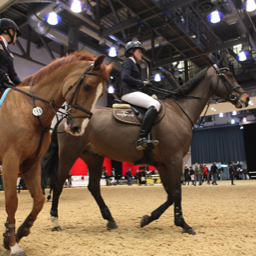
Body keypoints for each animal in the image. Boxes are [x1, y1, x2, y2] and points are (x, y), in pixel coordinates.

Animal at [0, 52, 113, 256]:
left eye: (101, 94)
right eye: (87, 86)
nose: (78, 128)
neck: (30, 110)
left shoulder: (31, 163)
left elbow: (38, 200)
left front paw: (19, 233)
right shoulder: (10, 160)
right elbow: (12, 200)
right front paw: (13, 244)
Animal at [43, 63, 249, 235]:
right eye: (228, 75)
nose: (246, 99)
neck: (179, 112)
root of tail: (67, 116)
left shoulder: (164, 164)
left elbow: (170, 194)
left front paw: (148, 218)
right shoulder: (174, 160)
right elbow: (176, 193)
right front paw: (183, 224)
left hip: (94, 157)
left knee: (93, 187)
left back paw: (110, 220)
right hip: (69, 154)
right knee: (57, 183)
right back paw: (55, 221)